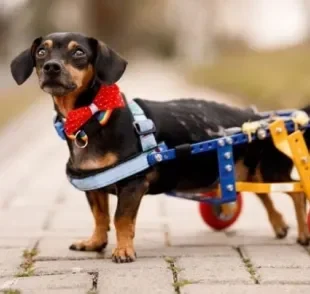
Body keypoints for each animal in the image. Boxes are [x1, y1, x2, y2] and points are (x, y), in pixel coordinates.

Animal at [9, 31, 310, 262]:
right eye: (41, 52)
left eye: (79, 53)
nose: (51, 67)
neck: (92, 117)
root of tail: (257, 116)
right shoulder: (93, 185)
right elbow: (100, 216)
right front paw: (95, 242)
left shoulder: (133, 185)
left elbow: (120, 219)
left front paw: (123, 250)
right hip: (246, 171)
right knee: (264, 195)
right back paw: (279, 225)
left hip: (268, 170)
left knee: (296, 194)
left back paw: (303, 233)